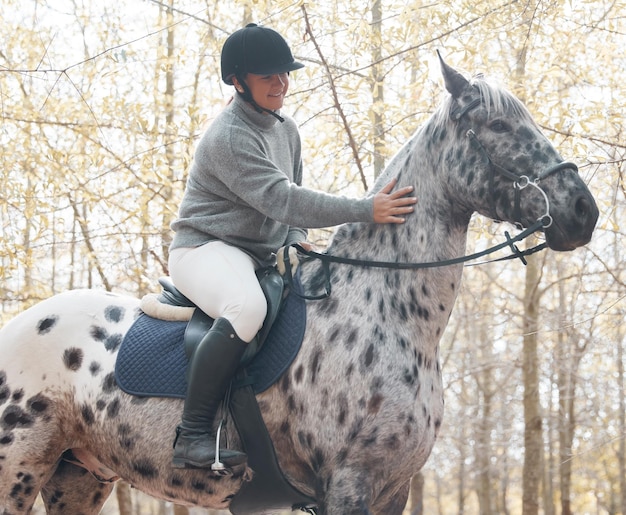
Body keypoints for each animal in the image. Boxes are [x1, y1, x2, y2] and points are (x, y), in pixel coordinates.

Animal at [0, 56, 596, 515]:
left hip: (79, 477)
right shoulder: (350, 485)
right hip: (19, 471)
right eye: (498, 127)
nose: (583, 211)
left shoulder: (393, 491)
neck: (386, 309)